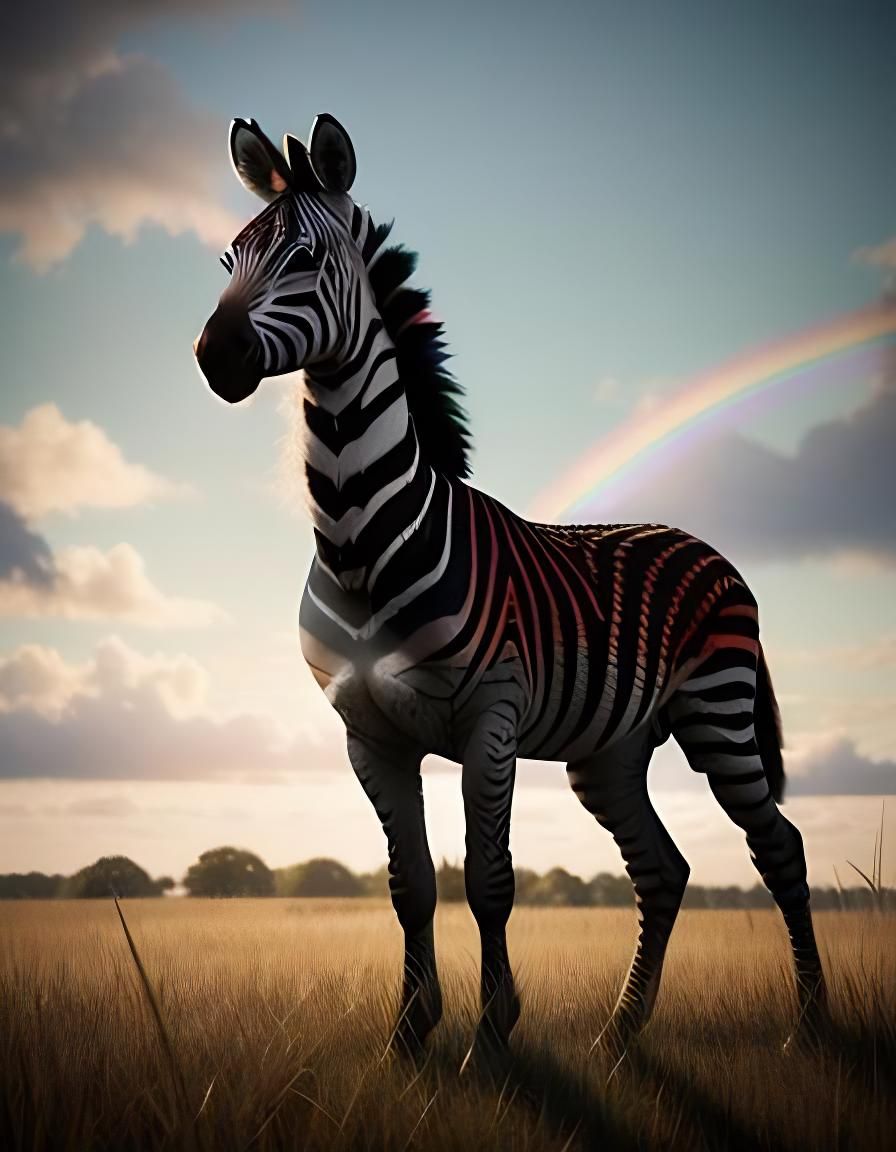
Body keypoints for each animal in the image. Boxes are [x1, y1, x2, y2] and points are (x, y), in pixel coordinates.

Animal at [195, 114, 829, 1064]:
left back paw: (812, 1023)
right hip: (611, 752)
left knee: (779, 848)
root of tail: (702, 543)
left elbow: (490, 881)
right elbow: (411, 885)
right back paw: (619, 1031)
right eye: (227, 257)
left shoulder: (488, 722)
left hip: (718, 716)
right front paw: (409, 1032)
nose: (213, 356)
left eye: (304, 257)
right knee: (663, 869)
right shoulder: (367, 735)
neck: (361, 542)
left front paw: (493, 1032)